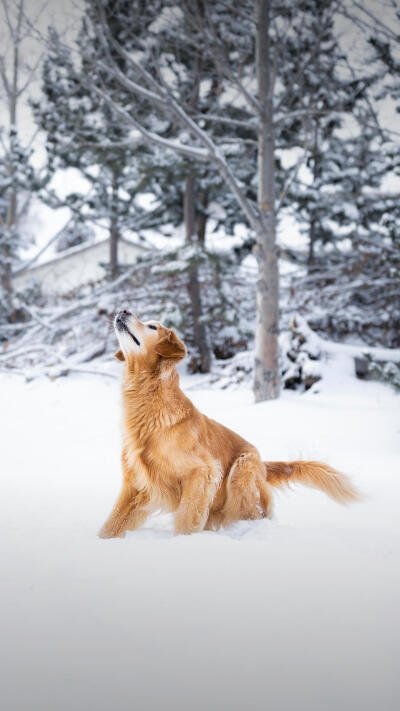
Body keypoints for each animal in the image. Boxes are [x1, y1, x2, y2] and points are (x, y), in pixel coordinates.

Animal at [99, 312, 360, 540]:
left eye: (152, 326)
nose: (123, 311)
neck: (149, 398)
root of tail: (264, 465)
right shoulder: (135, 482)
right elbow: (113, 523)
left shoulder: (203, 472)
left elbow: (186, 518)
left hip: (240, 472)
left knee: (254, 514)